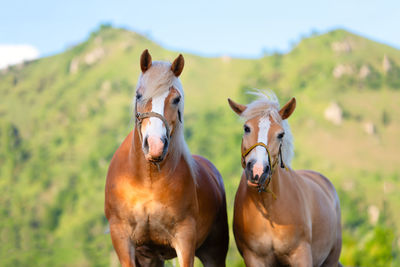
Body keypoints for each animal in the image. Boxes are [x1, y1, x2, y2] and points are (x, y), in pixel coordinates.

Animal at [104, 50, 230, 267]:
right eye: (139, 95)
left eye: (176, 99)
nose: (155, 146)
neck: (147, 181)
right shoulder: (122, 239)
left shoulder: (185, 239)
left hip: (214, 252)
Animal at [228, 91, 340, 266]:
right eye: (246, 128)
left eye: (280, 134)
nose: (258, 171)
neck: (269, 208)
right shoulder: (254, 258)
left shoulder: (301, 256)